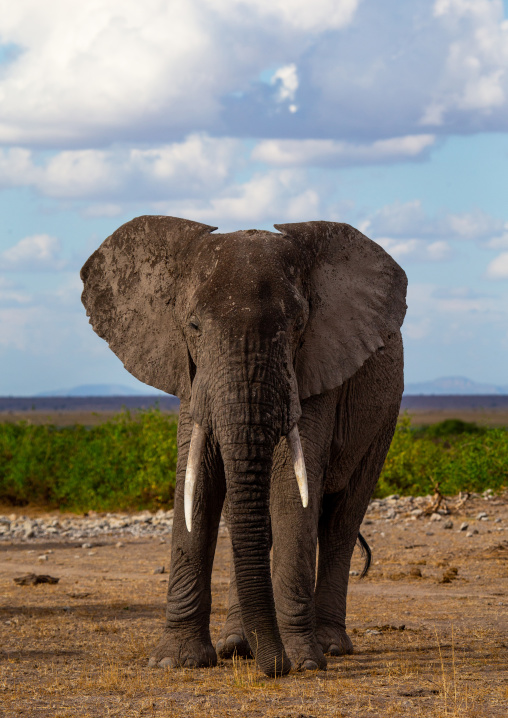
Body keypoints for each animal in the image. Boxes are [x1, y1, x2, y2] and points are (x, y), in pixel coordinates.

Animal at [80, 216, 407, 677]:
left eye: (298, 325)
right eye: (193, 325)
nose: (278, 668)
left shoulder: (317, 366)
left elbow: (291, 488)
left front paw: (304, 662)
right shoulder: (190, 371)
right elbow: (197, 478)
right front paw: (175, 661)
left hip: (384, 416)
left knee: (341, 519)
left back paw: (327, 645)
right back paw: (237, 645)